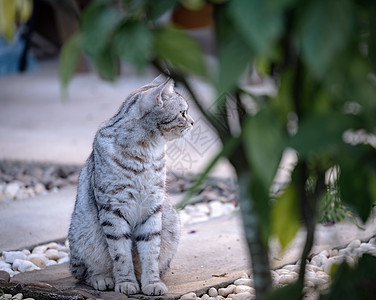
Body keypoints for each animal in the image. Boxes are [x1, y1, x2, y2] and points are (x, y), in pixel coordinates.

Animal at [68, 75, 195, 296]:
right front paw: (126, 282)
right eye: (183, 113)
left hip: (171, 221)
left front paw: (151, 282)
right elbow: (120, 253)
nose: (193, 122)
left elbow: (151, 250)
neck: (146, 151)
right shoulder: (113, 208)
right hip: (81, 232)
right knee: (83, 272)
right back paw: (102, 278)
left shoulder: (152, 207)